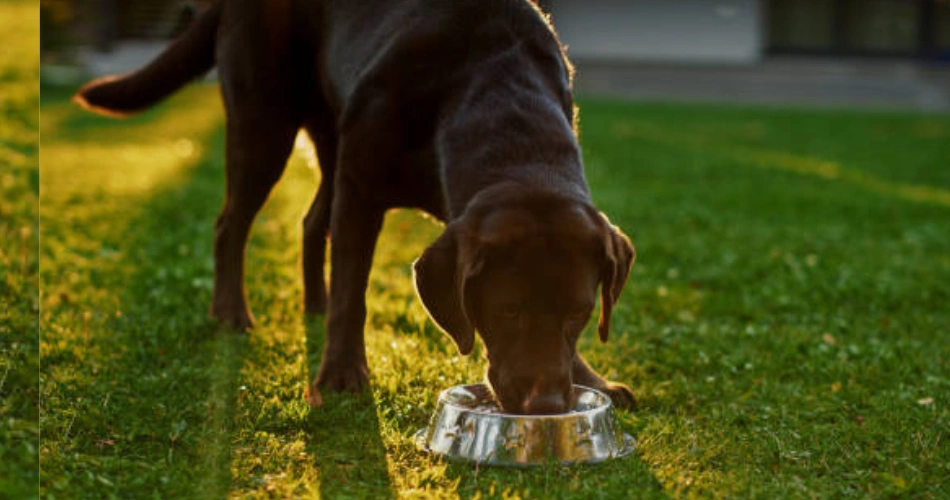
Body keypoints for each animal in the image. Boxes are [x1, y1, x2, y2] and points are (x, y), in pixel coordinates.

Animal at [76, 0, 640, 414]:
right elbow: (353, 291)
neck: (497, 86)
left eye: (581, 312)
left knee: (309, 222)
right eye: (508, 310)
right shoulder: (362, 184)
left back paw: (313, 303)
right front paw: (343, 373)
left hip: (330, 137)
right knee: (230, 224)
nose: (547, 406)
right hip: (265, 122)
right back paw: (232, 312)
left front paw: (594, 380)